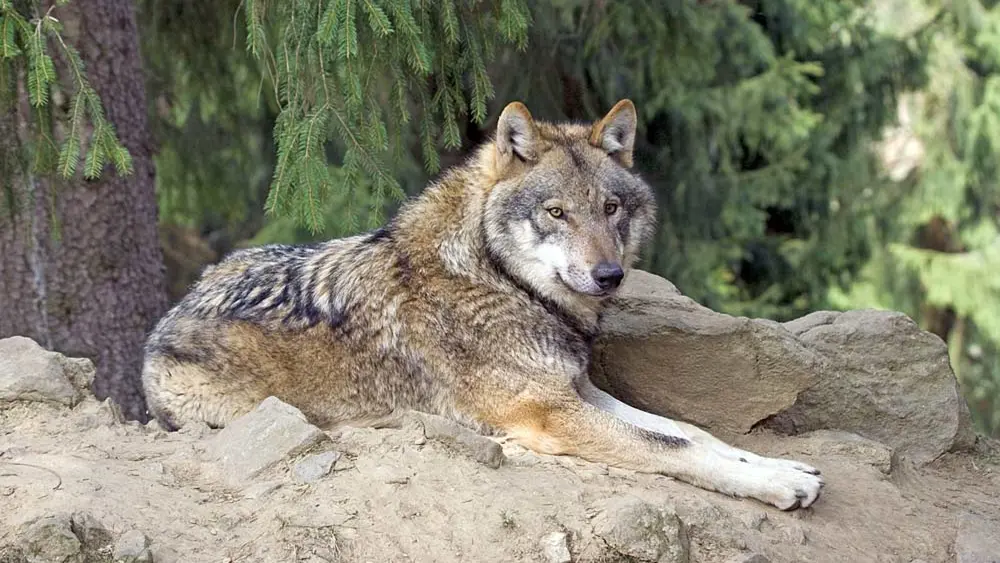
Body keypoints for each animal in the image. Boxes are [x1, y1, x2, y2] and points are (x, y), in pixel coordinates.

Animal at [142, 100, 824, 510]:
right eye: (556, 213)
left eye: (611, 208)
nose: (609, 276)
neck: (497, 280)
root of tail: (167, 317)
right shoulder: (548, 413)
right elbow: (672, 447)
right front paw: (774, 482)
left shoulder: (575, 389)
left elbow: (688, 430)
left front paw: (782, 465)